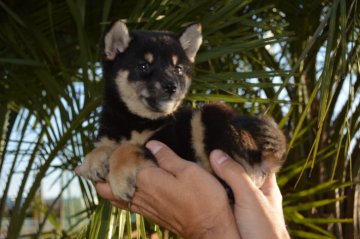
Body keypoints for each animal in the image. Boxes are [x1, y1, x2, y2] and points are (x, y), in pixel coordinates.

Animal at [77, 20, 286, 201]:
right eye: (143, 66)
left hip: (212, 113)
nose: (171, 87)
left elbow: (129, 148)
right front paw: (92, 161)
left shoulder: (167, 143)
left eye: (177, 69)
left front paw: (119, 177)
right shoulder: (110, 137)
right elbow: (105, 147)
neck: (134, 120)